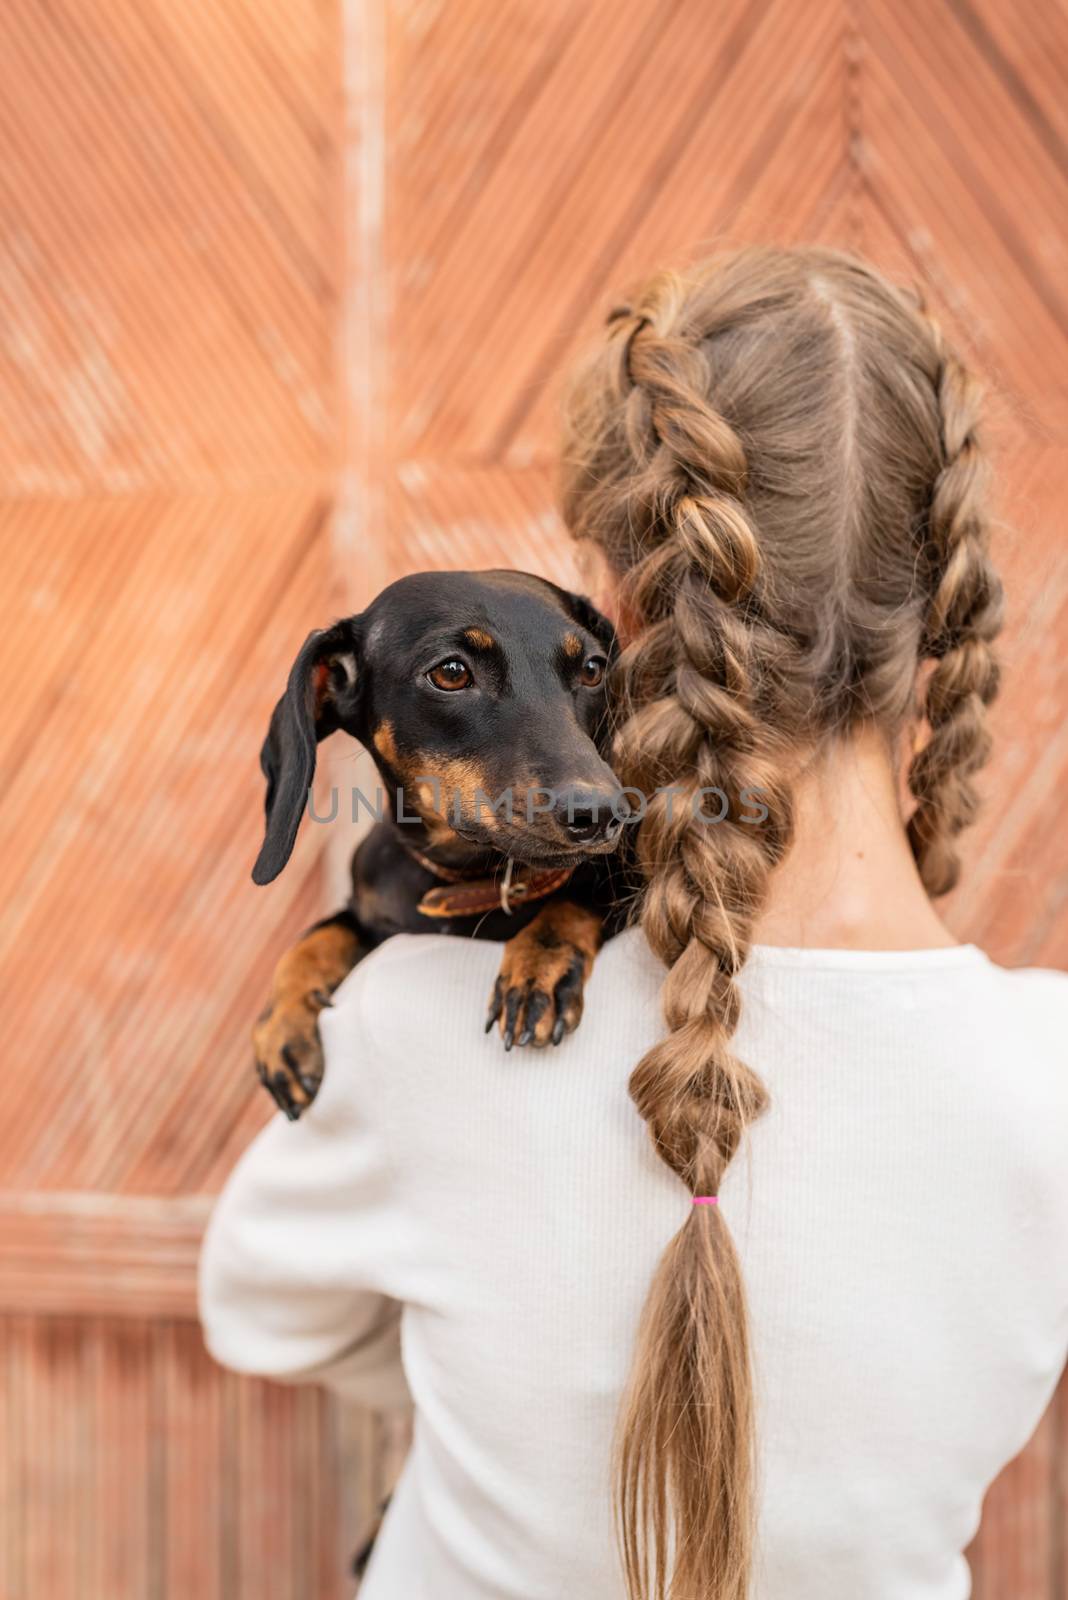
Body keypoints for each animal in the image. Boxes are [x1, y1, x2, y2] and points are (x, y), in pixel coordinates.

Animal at [251, 569, 633, 1120]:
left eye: (592, 668)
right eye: (451, 673)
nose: (600, 814)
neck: (465, 884)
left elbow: (580, 896)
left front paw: (538, 966)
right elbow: (319, 935)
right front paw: (281, 1023)